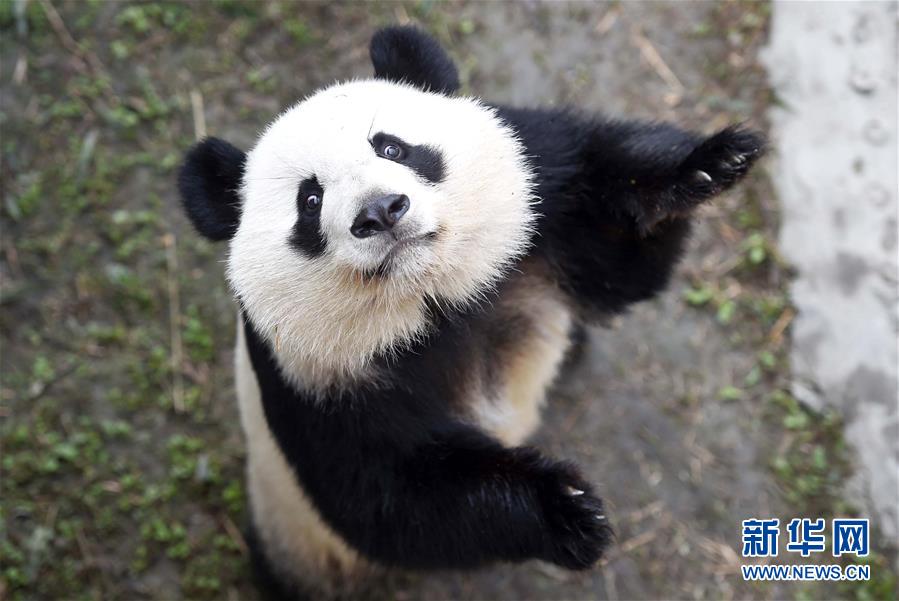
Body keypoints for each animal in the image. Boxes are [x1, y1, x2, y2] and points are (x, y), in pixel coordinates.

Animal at [178, 25, 768, 596]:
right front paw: (567, 511)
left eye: (391, 147)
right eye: (310, 201)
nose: (380, 211)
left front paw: (706, 166)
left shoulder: (542, 205)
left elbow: (616, 262)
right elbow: (392, 497)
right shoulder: (310, 376)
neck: (432, 298)